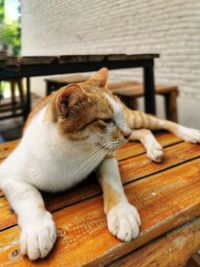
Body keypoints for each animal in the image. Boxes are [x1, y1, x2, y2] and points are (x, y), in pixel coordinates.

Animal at [0, 67, 200, 262]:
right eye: (106, 120)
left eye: (117, 116)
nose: (125, 133)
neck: (72, 153)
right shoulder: (7, 174)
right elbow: (28, 196)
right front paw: (37, 230)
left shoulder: (107, 156)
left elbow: (113, 183)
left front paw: (122, 214)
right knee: (144, 131)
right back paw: (154, 148)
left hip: (133, 119)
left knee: (159, 122)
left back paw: (189, 133)